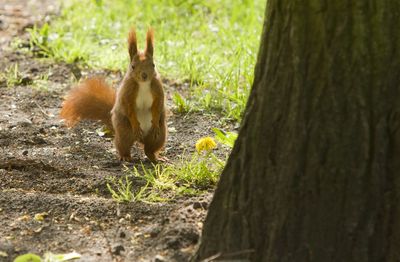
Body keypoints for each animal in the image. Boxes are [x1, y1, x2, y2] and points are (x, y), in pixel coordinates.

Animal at [58, 27, 166, 162]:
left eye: (153, 65)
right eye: (133, 66)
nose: (144, 75)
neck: (143, 84)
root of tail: (141, 139)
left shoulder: (157, 89)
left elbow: (158, 105)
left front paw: (155, 123)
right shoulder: (127, 92)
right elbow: (129, 108)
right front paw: (136, 125)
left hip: (159, 136)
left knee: (149, 149)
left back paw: (155, 157)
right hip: (125, 131)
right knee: (123, 145)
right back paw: (126, 156)